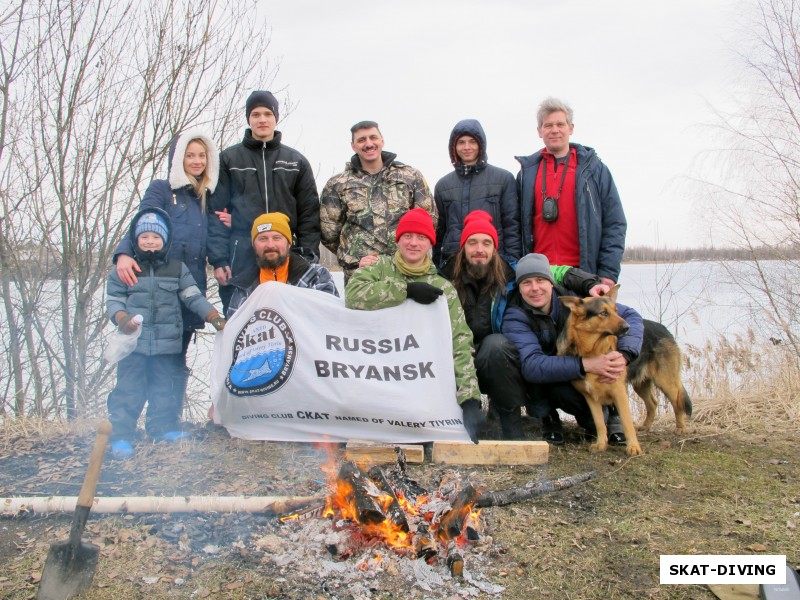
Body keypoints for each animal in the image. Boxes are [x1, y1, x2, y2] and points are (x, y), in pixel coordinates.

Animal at [556, 288, 692, 454]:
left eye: (616, 311)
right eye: (603, 313)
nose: (627, 327)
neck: (591, 352)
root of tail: (663, 328)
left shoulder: (619, 393)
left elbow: (627, 423)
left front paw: (633, 447)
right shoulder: (590, 397)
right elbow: (600, 423)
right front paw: (601, 444)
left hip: (666, 382)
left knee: (677, 401)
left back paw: (681, 428)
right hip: (641, 384)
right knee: (653, 403)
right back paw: (646, 426)